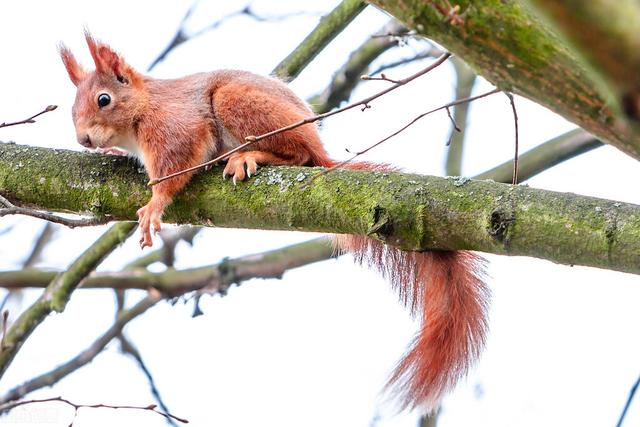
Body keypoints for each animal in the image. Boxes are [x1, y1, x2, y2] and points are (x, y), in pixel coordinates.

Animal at [60, 33, 490, 412]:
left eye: (103, 100)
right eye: (72, 106)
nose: (83, 139)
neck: (143, 107)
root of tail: (319, 145)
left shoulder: (174, 125)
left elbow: (175, 166)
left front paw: (154, 205)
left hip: (238, 103)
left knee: (299, 155)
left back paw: (251, 156)